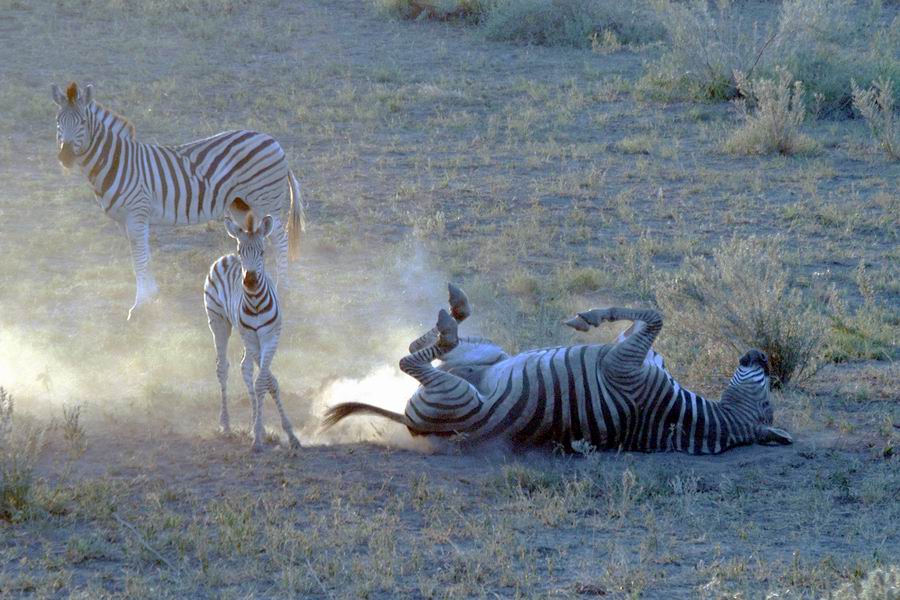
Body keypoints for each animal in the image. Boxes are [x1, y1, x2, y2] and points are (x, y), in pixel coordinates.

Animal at [52, 83, 306, 324]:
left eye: (83, 122)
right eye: (58, 122)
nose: (65, 157)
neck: (116, 162)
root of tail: (272, 140)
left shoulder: (136, 213)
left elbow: (139, 259)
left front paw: (139, 306)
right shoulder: (125, 220)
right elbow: (143, 256)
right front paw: (152, 296)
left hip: (264, 200)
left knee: (280, 239)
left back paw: (282, 288)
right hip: (241, 204)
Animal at [205, 209, 300, 452]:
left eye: (263, 252)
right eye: (242, 251)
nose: (249, 281)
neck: (256, 302)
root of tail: (225, 257)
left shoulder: (270, 337)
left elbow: (264, 382)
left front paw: (284, 433)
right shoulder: (252, 338)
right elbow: (265, 382)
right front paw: (257, 436)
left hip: (246, 336)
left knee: (245, 367)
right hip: (219, 322)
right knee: (222, 367)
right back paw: (226, 424)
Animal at [324, 284, 796, 452]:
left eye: (766, 401)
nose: (760, 354)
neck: (680, 416)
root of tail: (408, 420)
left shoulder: (623, 362)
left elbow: (656, 314)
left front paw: (586, 317)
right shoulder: (630, 353)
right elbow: (646, 314)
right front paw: (589, 318)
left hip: (456, 395)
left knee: (411, 357)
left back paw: (449, 319)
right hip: (487, 356)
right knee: (435, 346)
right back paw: (455, 310)